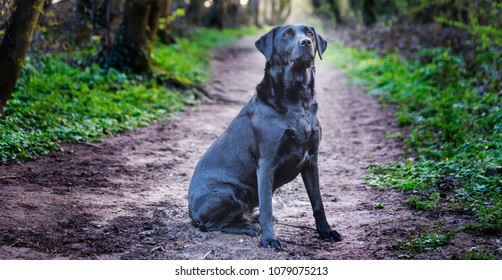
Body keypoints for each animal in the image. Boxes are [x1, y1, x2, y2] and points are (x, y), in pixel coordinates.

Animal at [188, 24, 342, 249]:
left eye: (309, 33)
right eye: (287, 34)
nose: (306, 42)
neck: (298, 100)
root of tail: (190, 210)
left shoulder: (312, 160)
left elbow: (318, 202)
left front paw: (326, 231)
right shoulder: (267, 163)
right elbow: (268, 208)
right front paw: (270, 239)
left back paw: (251, 219)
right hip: (229, 192)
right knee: (210, 225)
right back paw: (249, 227)